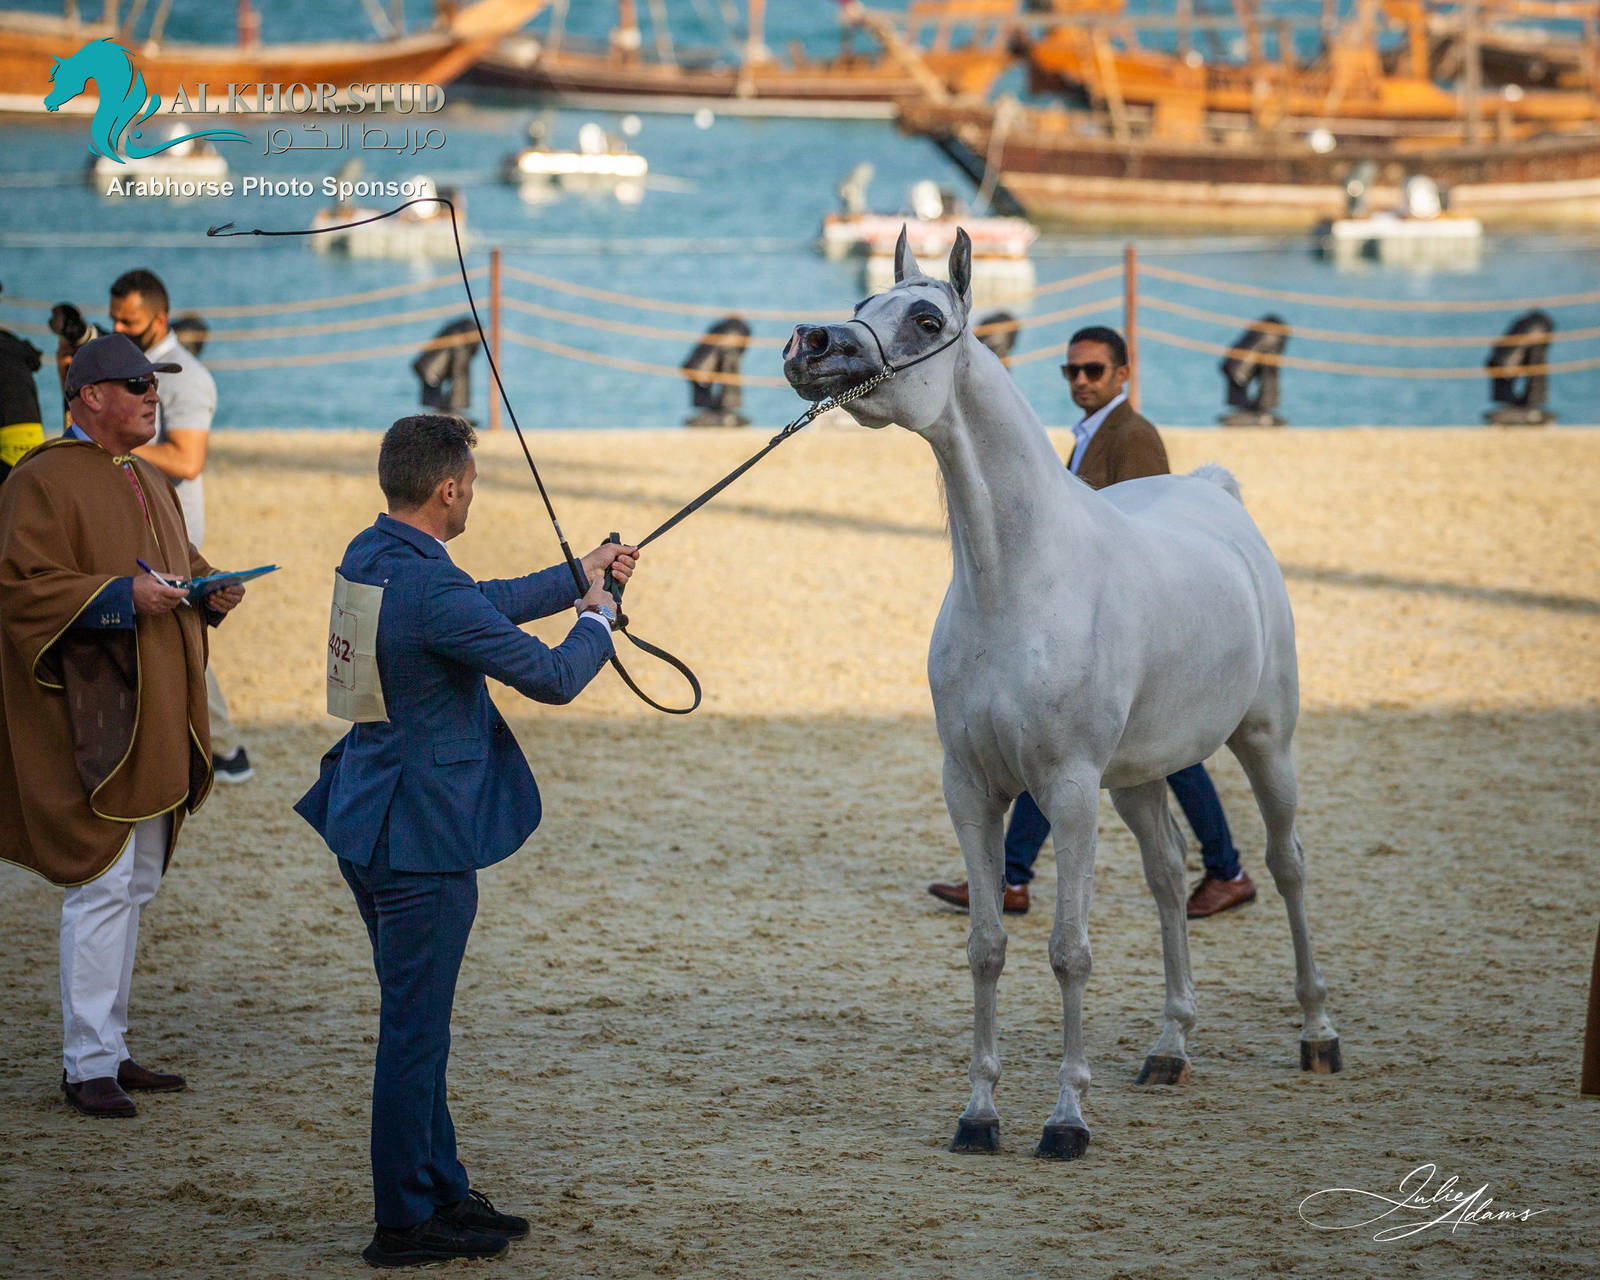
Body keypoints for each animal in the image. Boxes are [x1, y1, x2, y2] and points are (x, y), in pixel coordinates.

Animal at [782, 228, 1340, 1161]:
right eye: (862, 306)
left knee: (1287, 865)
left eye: (925, 317)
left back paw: (1318, 1034)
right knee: (1167, 880)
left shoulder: (1068, 789)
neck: (1016, 583)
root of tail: (1212, 490)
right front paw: (978, 1115)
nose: (810, 343)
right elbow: (986, 945)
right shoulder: (971, 788)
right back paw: (1169, 1048)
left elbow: (1069, 952)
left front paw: (1066, 1121)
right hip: (1140, 779)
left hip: (1264, 741)